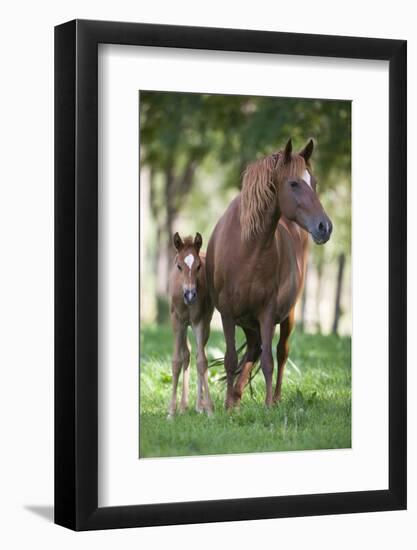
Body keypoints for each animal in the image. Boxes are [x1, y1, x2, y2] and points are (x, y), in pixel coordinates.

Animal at [206, 140, 334, 408]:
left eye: (314, 182)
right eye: (294, 183)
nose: (324, 227)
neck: (247, 247)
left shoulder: (267, 313)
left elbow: (268, 363)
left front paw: (266, 407)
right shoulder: (227, 314)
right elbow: (231, 359)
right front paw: (227, 406)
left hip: (287, 316)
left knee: (279, 353)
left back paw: (273, 399)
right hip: (247, 321)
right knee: (253, 350)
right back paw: (236, 397)